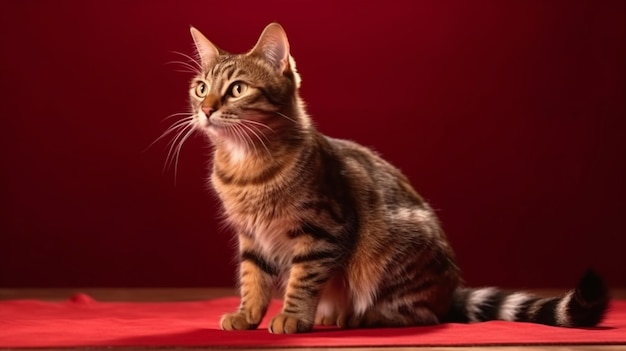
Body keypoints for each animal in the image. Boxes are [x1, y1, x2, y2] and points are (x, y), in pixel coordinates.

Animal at [178, 22, 608, 336]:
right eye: (201, 88)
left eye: (237, 89)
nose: (206, 109)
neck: (245, 166)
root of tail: (449, 291)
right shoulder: (251, 237)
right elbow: (253, 278)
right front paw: (247, 314)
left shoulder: (322, 231)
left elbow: (302, 279)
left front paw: (293, 316)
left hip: (389, 254)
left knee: (424, 314)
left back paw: (361, 316)